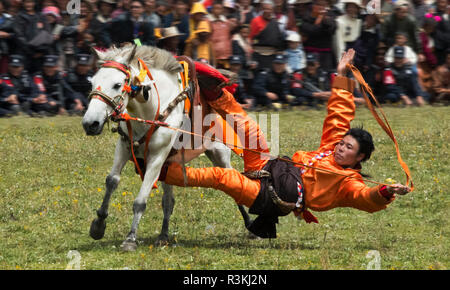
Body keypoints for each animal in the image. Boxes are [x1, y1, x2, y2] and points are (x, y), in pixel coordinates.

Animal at [81, 44, 250, 250]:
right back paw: (163, 235)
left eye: (117, 85)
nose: (90, 124)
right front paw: (98, 224)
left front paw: (130, 238)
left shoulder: (157, 157)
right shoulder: (124, 147)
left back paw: (251, 226)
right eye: (92, 83)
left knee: (234, 180)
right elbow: (112, 181)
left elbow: (140, 200)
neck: (151, 109)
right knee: (168, 201)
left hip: (219, 154)